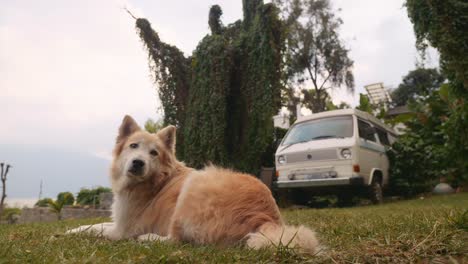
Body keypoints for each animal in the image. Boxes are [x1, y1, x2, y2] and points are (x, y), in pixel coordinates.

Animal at [67, 115, 320, 254]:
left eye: (154, 153)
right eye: (133, 146)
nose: (138, 163)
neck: (157, 179)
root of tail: (266, 217)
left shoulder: (121, 230)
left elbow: (94, 228)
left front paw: (69, 232)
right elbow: (96, 224)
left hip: (194, 186)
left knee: (175, 241)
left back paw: (149, 239)